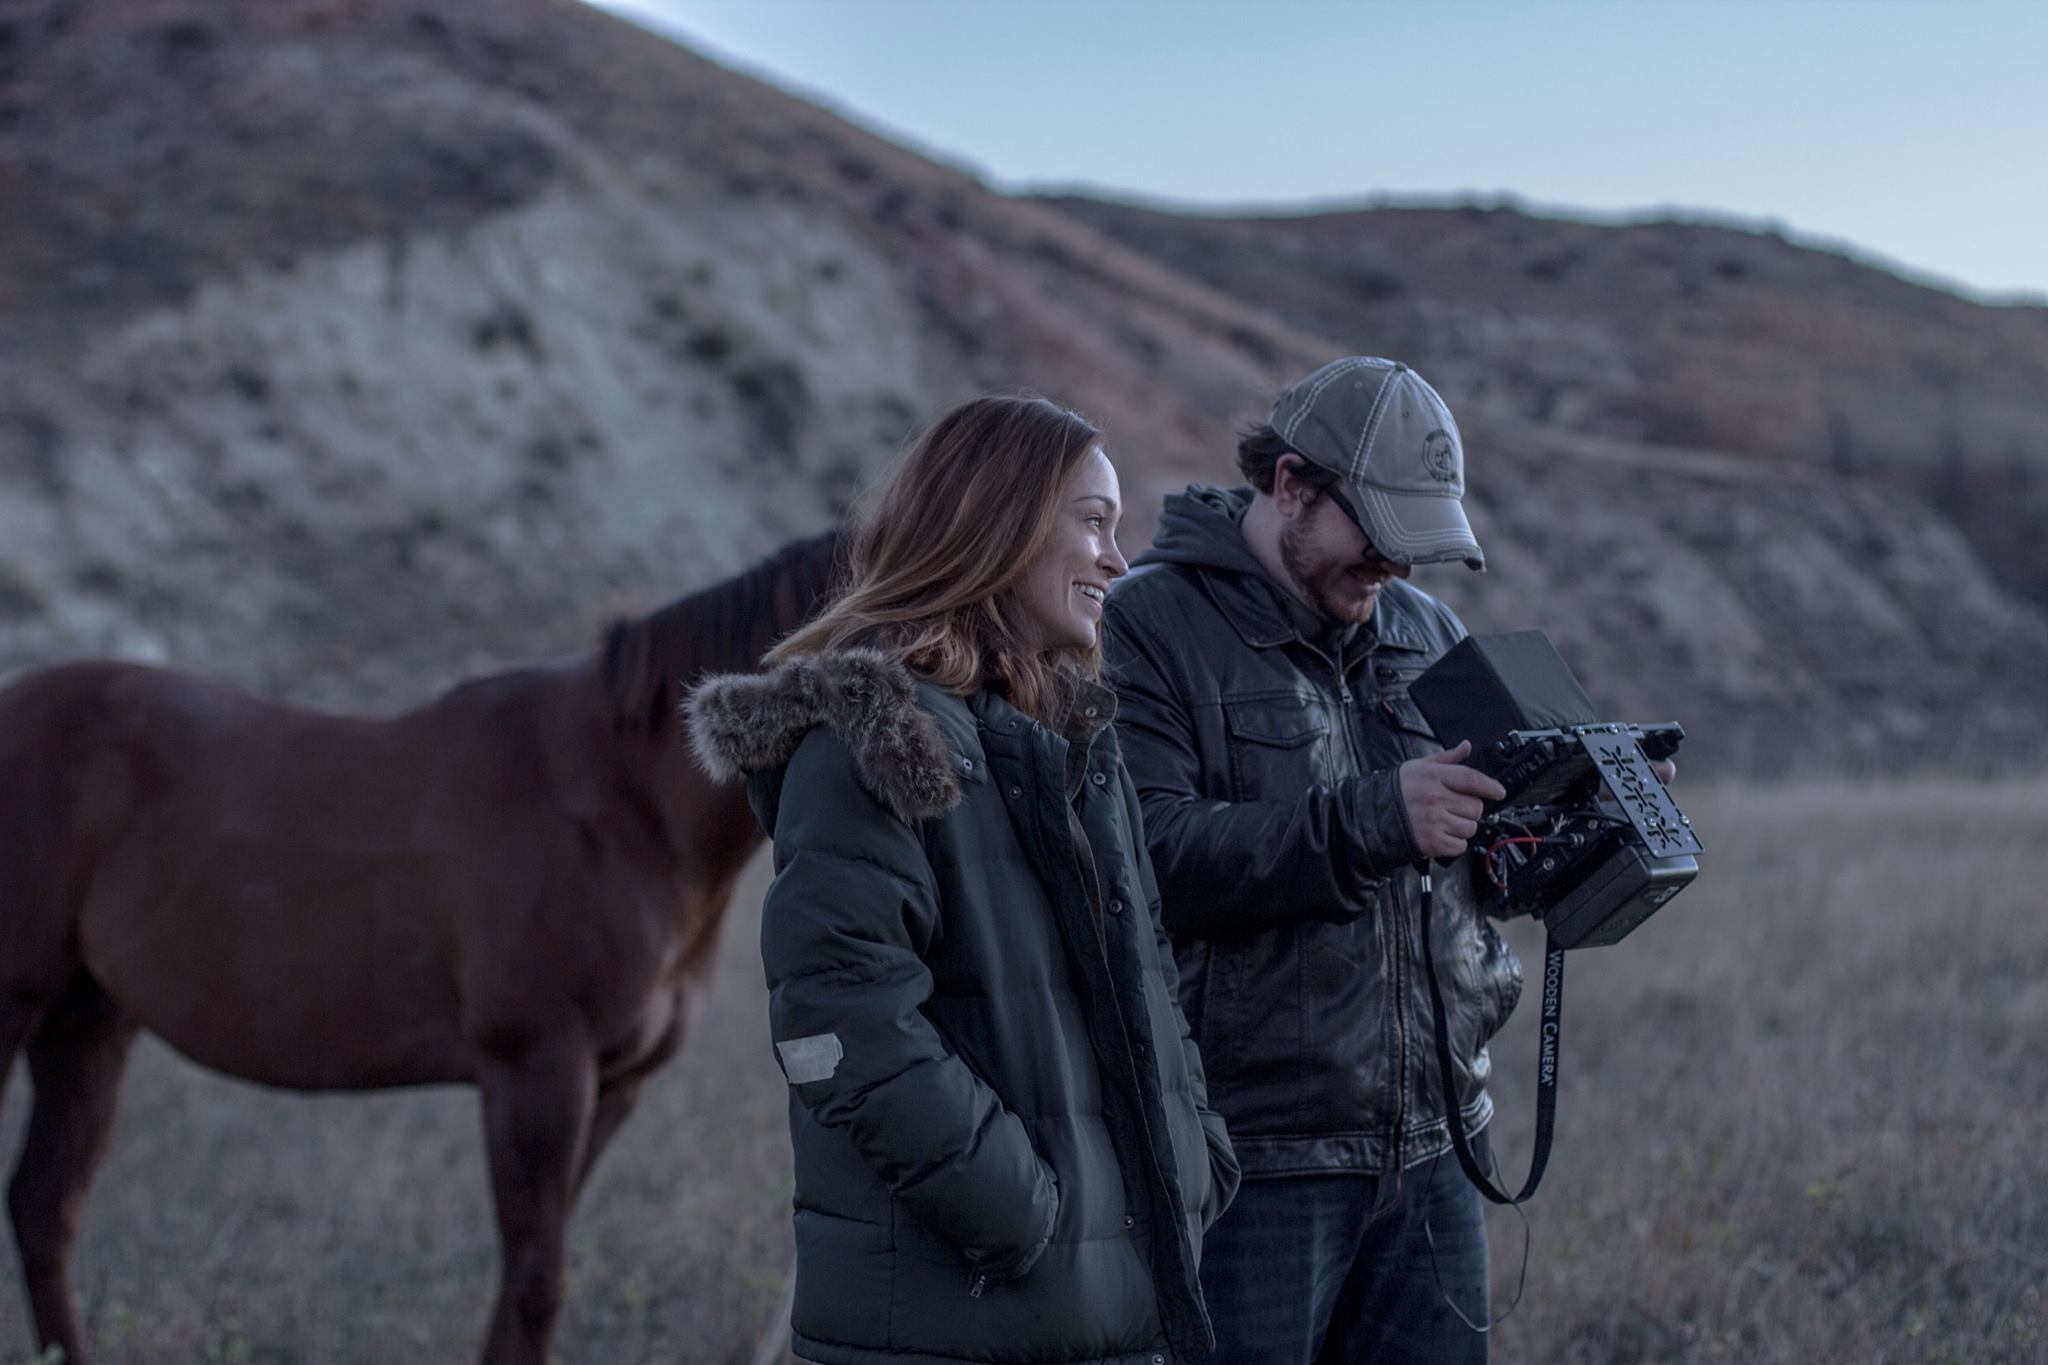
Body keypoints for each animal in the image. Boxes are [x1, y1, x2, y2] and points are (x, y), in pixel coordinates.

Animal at [0, 527, 843, 1358]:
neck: (625, 805)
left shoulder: (614, 1085)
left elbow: (523, 1287)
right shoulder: (537, 1072)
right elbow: (535, 1287)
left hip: (87, 1023)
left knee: (46, 1207)